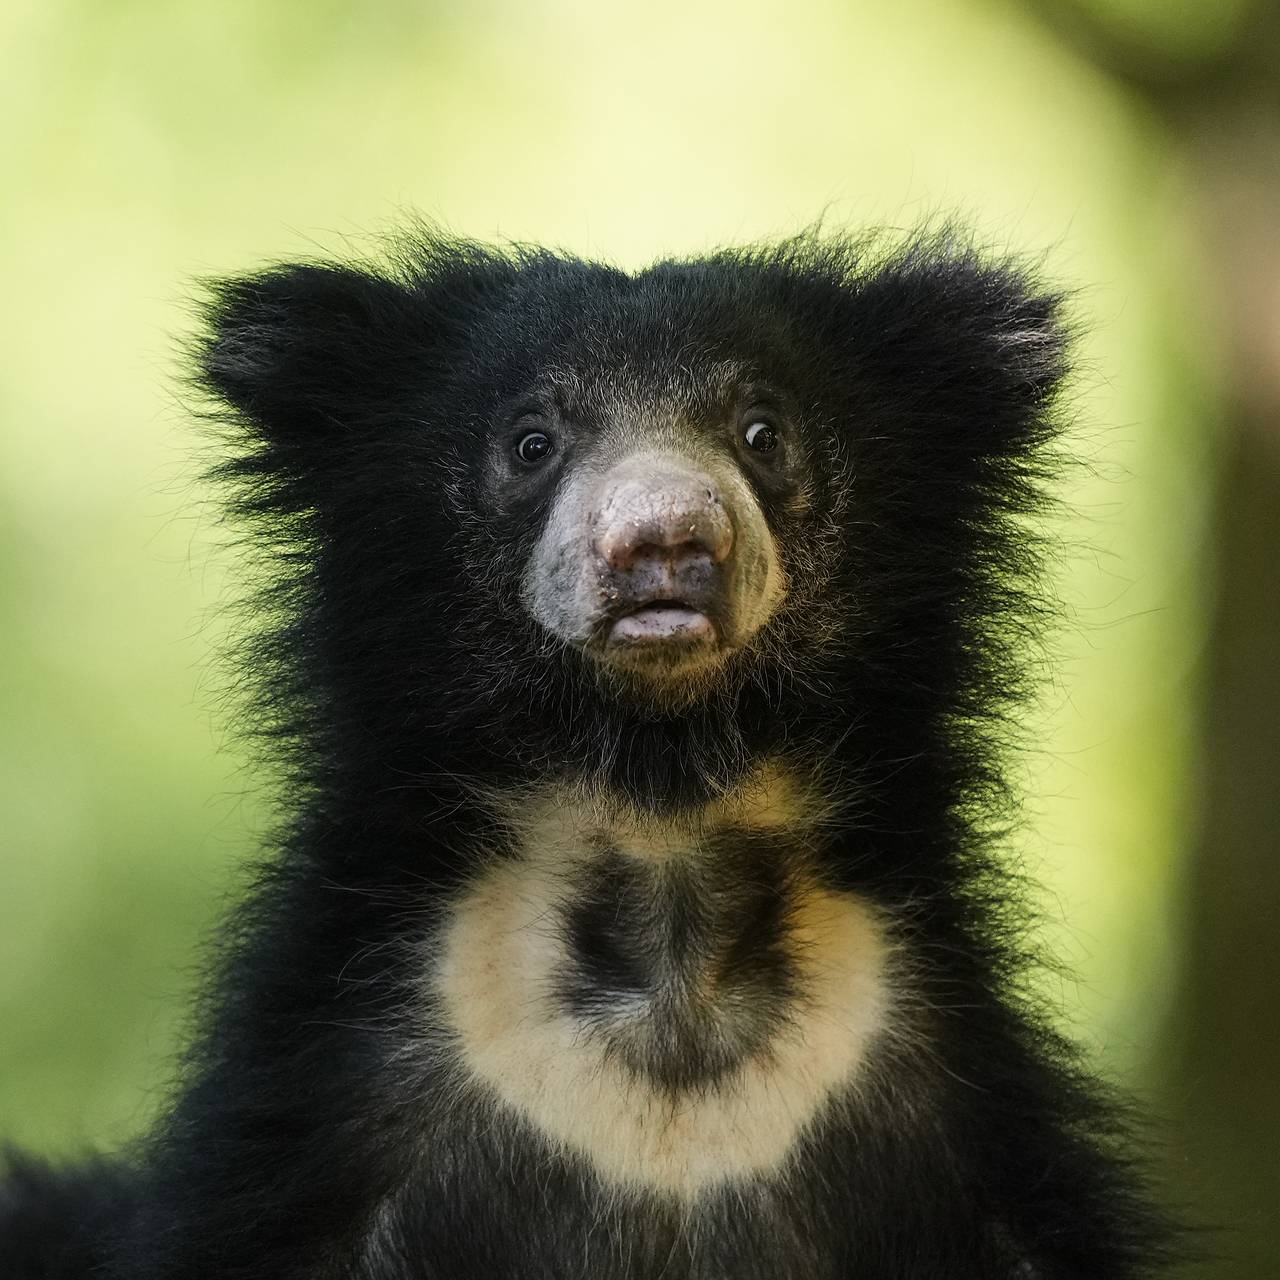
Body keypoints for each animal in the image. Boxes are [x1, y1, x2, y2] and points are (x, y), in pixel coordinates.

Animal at [0, 225, 1177, 1274]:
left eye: (761, 432)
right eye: (532, 442)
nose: (664, 543)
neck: (660, 814)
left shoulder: (955, 1114)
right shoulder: (328, 1120)